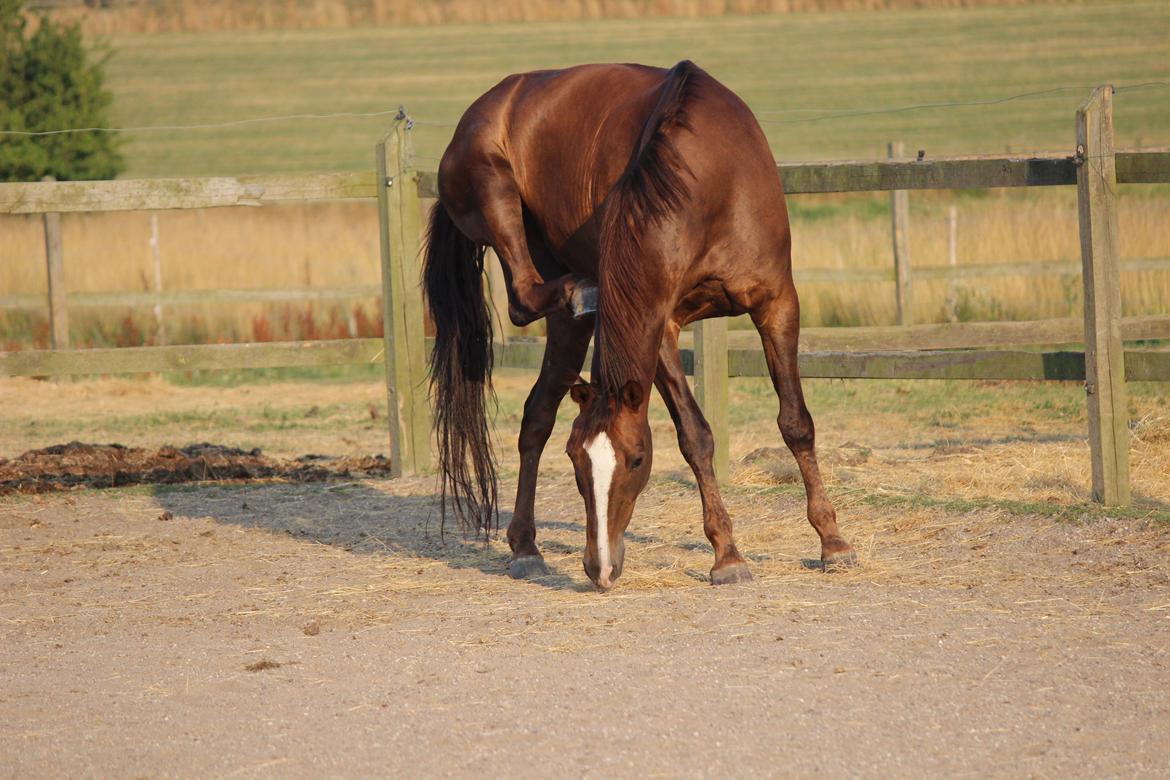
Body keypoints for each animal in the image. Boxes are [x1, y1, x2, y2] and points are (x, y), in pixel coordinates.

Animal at [425, 61, 856, 589]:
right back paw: (582, 289)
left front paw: (833, 542)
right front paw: (728, 554)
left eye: (636, 459)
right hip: (495, 187)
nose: (600, 568)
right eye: (576, 460)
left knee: (536, 415)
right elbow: (695, 436)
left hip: (570, 331)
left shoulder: (777, 304)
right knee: (523, 298)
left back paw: (526, 547)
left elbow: (795, 422)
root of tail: (478, 113)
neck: (708, 178)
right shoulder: (662, 323)